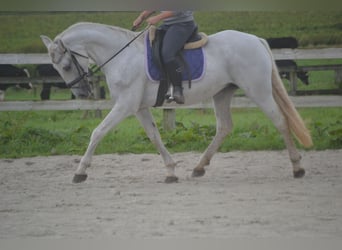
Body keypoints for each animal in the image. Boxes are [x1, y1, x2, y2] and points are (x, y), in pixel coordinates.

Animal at [40, 22, 312, 184]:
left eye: (66, 65)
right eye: (57, 67)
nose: (81, 92)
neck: (122, 56)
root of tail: (256, 40)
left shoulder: (125, 105)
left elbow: (97, 132)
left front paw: (80, 171)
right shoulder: (138, 108)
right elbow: (154, 136)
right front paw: (171, 170)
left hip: (258, 91)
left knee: (280, 121)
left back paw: (297, 167)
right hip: (222, 93)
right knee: (224, 128)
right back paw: (199, 168)